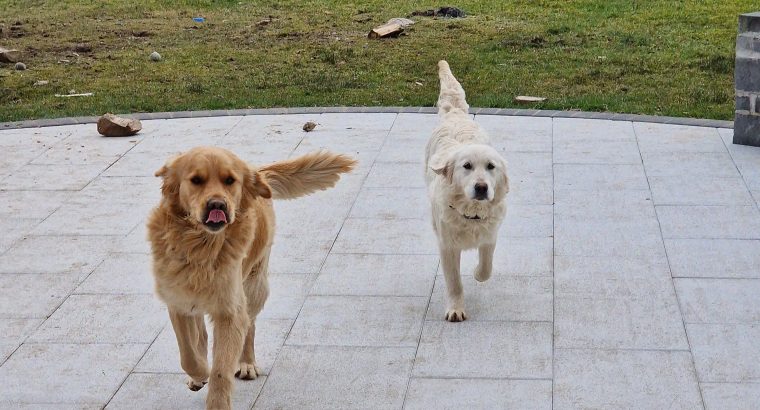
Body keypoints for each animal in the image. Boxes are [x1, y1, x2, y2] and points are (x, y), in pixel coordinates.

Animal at [148, 146, 356, 408]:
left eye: (230, 180)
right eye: (196, 180)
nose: (217, 205)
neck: (200, 246)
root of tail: (257, 172)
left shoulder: (230, 309)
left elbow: (221, 369)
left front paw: (216, 397)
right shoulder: (178, 301)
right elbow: (189, 354)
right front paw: (199, 373)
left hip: (256, 284)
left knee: (250, 324)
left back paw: (246, 363)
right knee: (201, 334)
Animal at [424, 61, 508, 324]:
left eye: (491, 166)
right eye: (467, 166)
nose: (481, 187)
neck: (471, 214)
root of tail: (455, 114)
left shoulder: (490, 235)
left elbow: (486, 266)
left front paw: (478, 273)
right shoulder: (448, 246)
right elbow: (454, 282)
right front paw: (455, 308)